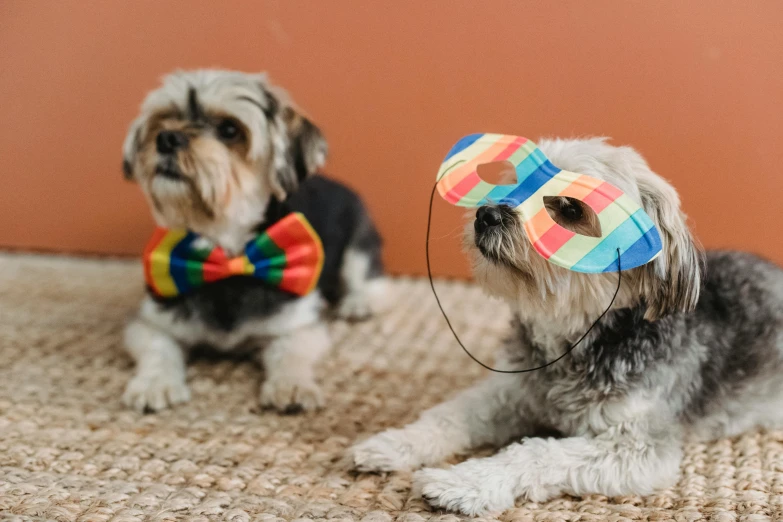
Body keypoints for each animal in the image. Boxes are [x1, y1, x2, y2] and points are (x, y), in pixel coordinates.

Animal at [121, 68, 388, 410]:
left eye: (229, 129)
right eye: (165, 118)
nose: (166, 138)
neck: (225, 253)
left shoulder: (298, 324)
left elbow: (291, 354)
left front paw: (292, 386)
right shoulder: (152, 319)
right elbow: (157, 349)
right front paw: (155, 384)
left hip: (358, 243)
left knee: (368, 281)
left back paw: (357, 303)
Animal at [350, 135, 783, 512]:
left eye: (570, 209)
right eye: (516, 183)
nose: (486, 214)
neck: (576, 338)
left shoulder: (635, 445)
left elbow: (537, 452)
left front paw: (462, 482)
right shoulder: (509, 391)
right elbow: (449, 414)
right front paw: (393, 444)